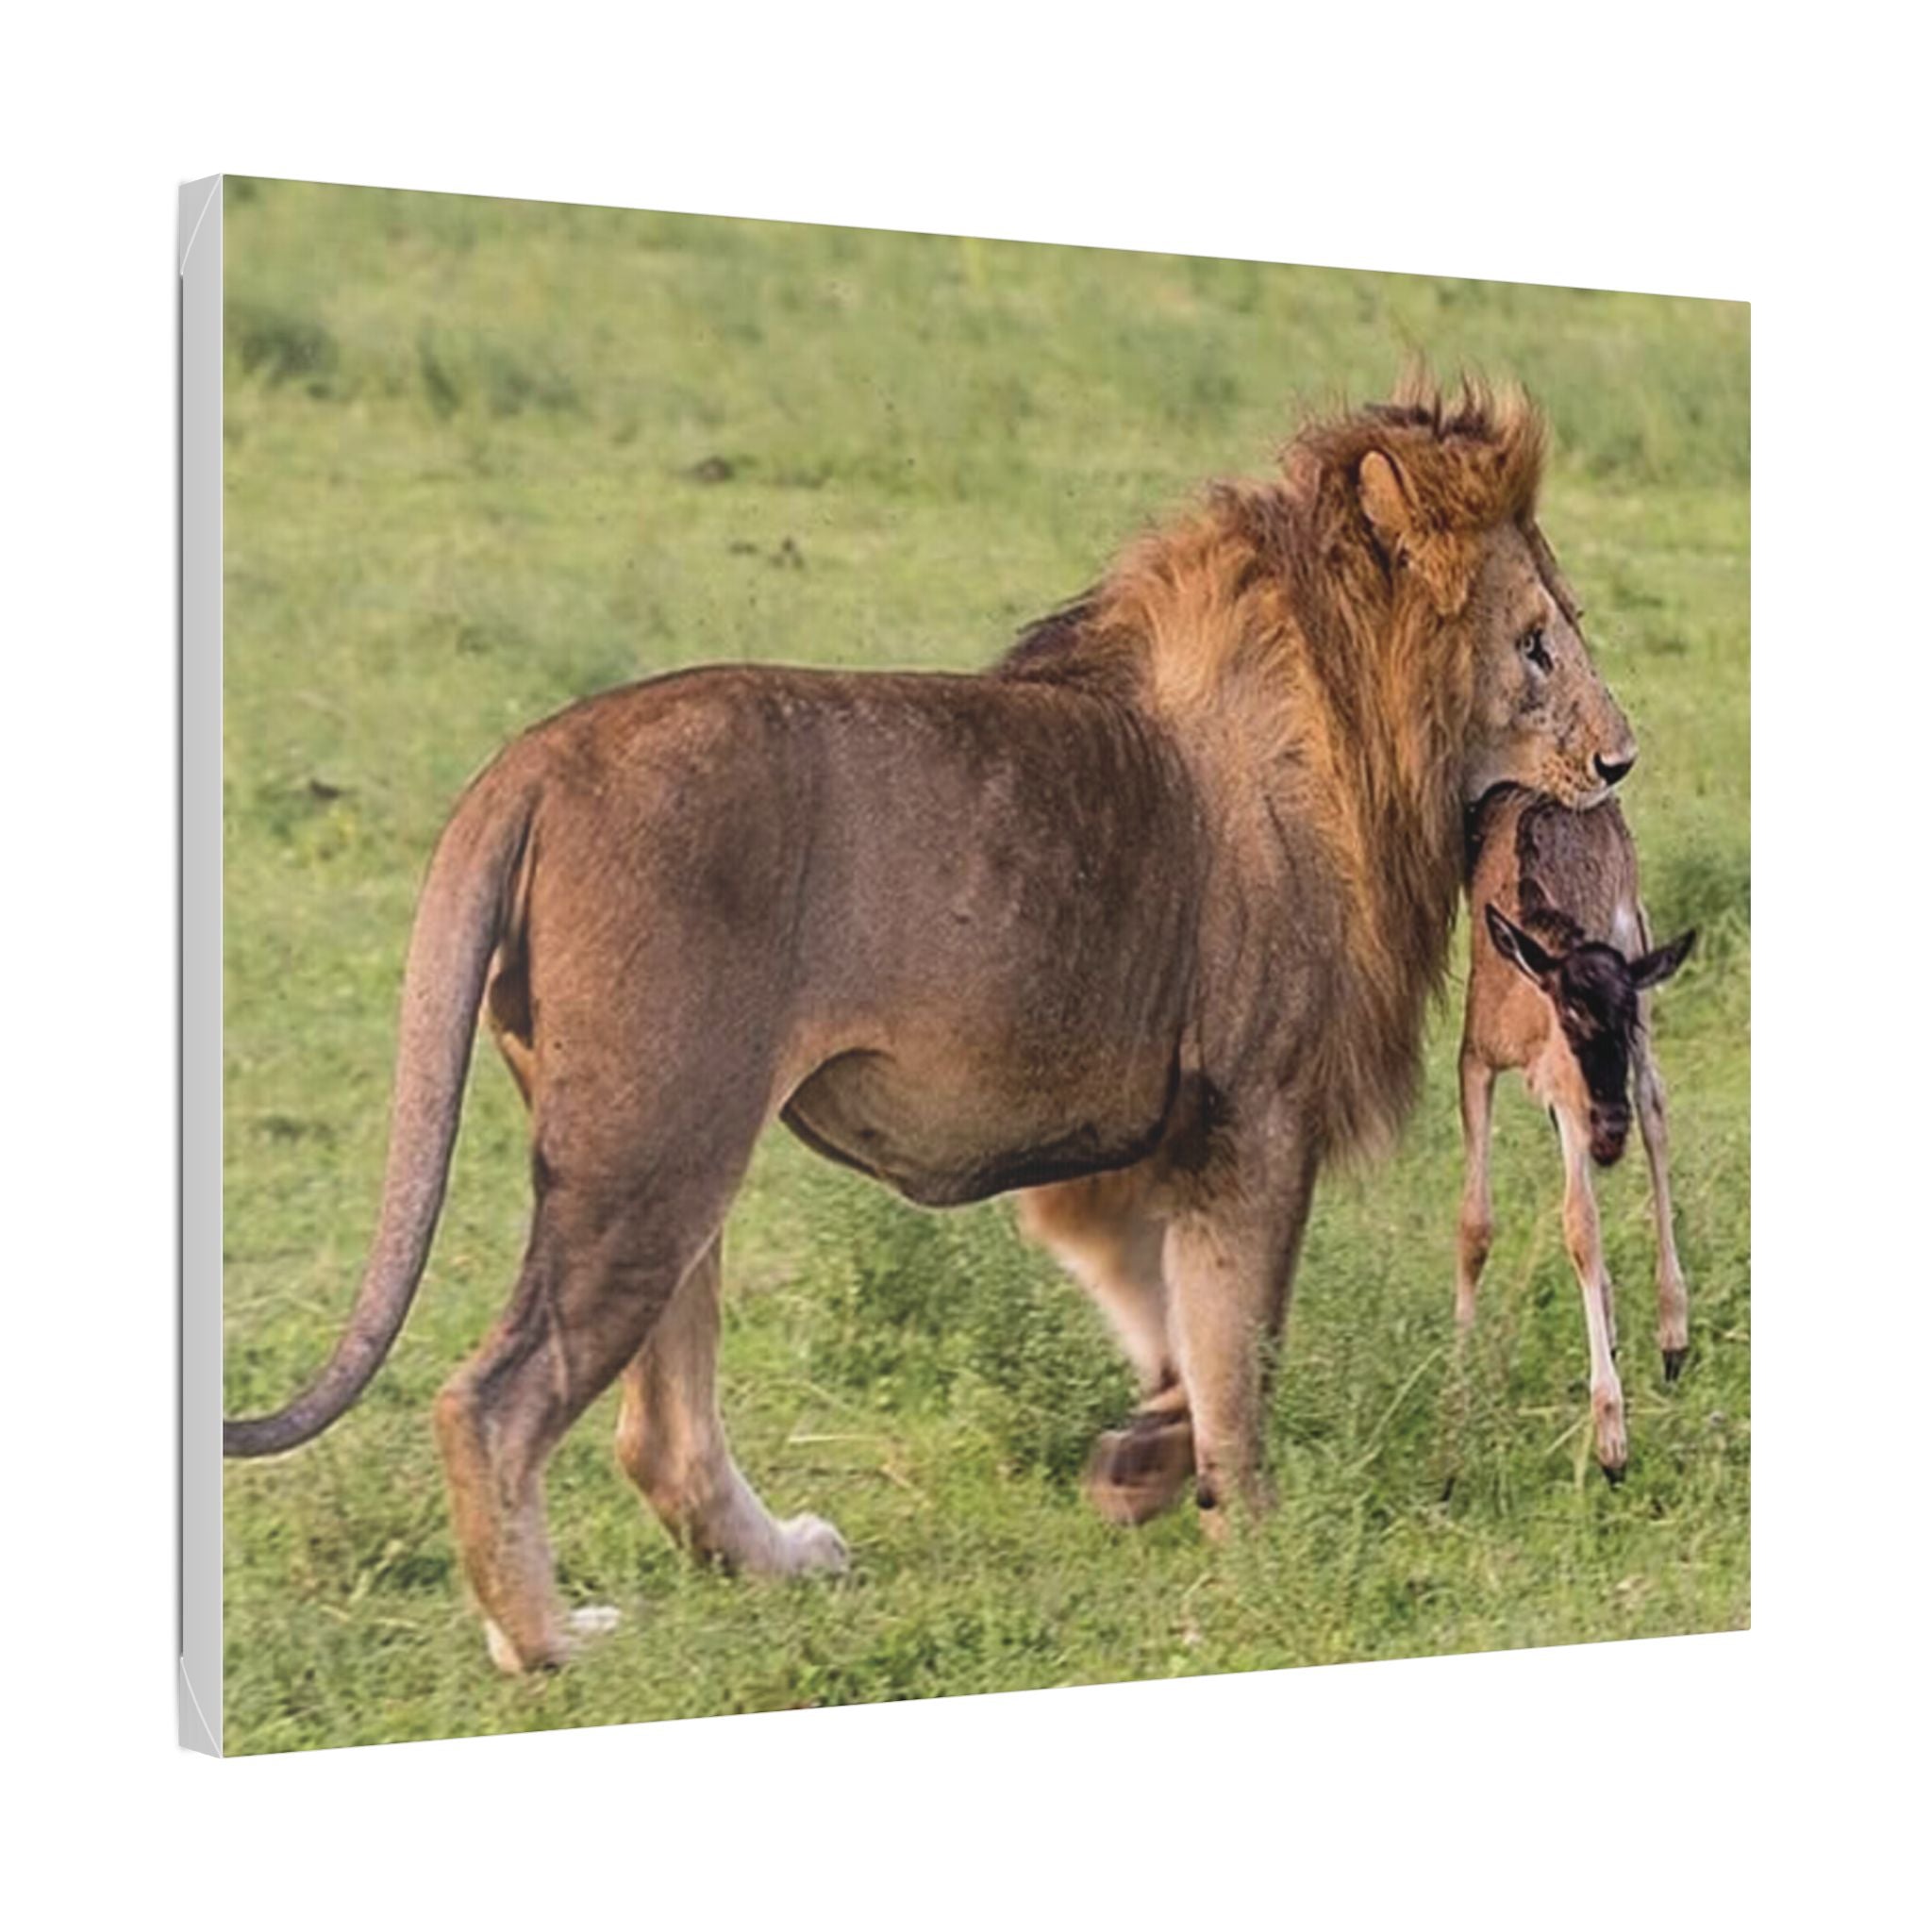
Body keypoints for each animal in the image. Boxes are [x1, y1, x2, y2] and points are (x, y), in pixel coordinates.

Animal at [226, 379, 1637, 1674]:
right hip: (649, 1147)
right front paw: (1258, 1537)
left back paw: (778, 1562)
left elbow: (1170, 1324)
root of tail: (534, 757)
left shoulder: (1132, 1146)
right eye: (1534, 646)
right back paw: (548, 1642)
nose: (1624, 758)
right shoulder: (1256, 1111)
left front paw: (1139, 1462)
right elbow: (1241, 1344)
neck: (1354, 724)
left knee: (658, 1434)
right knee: (495, 1400)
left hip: (679, 1152)